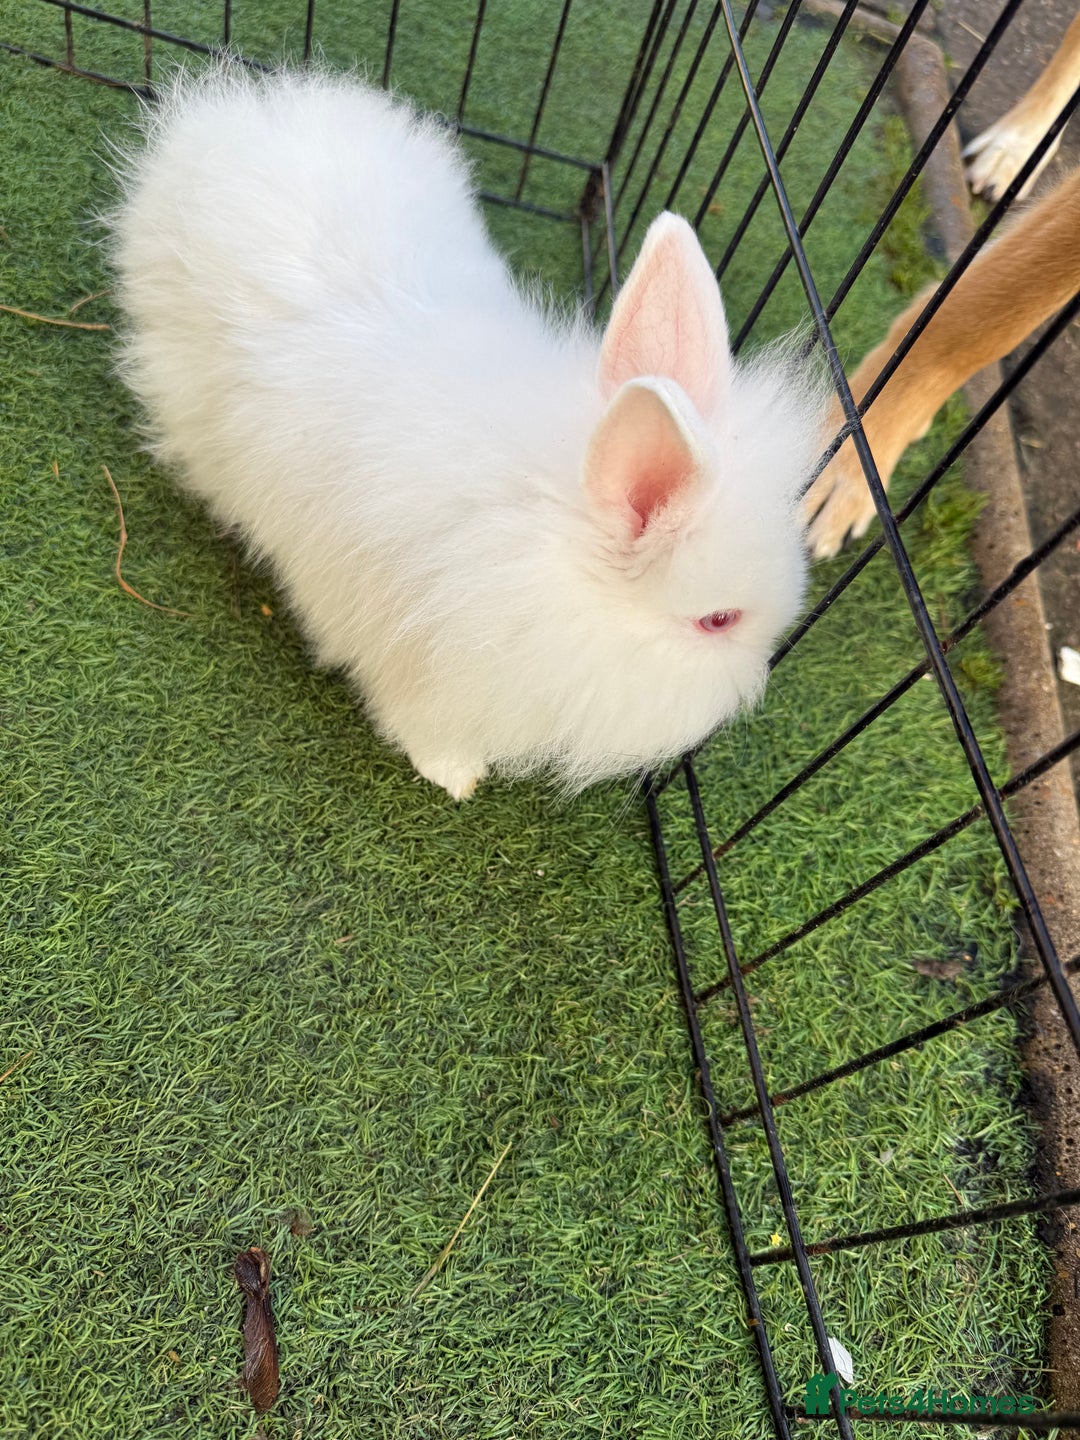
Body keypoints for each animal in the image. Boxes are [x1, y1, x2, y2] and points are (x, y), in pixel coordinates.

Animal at [109, 65, 824, 799]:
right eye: (717, 621)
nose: (755, 686)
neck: (541, 526)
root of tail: (221, 121)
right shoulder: (415, 652)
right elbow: (417, 719)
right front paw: (454, 776)